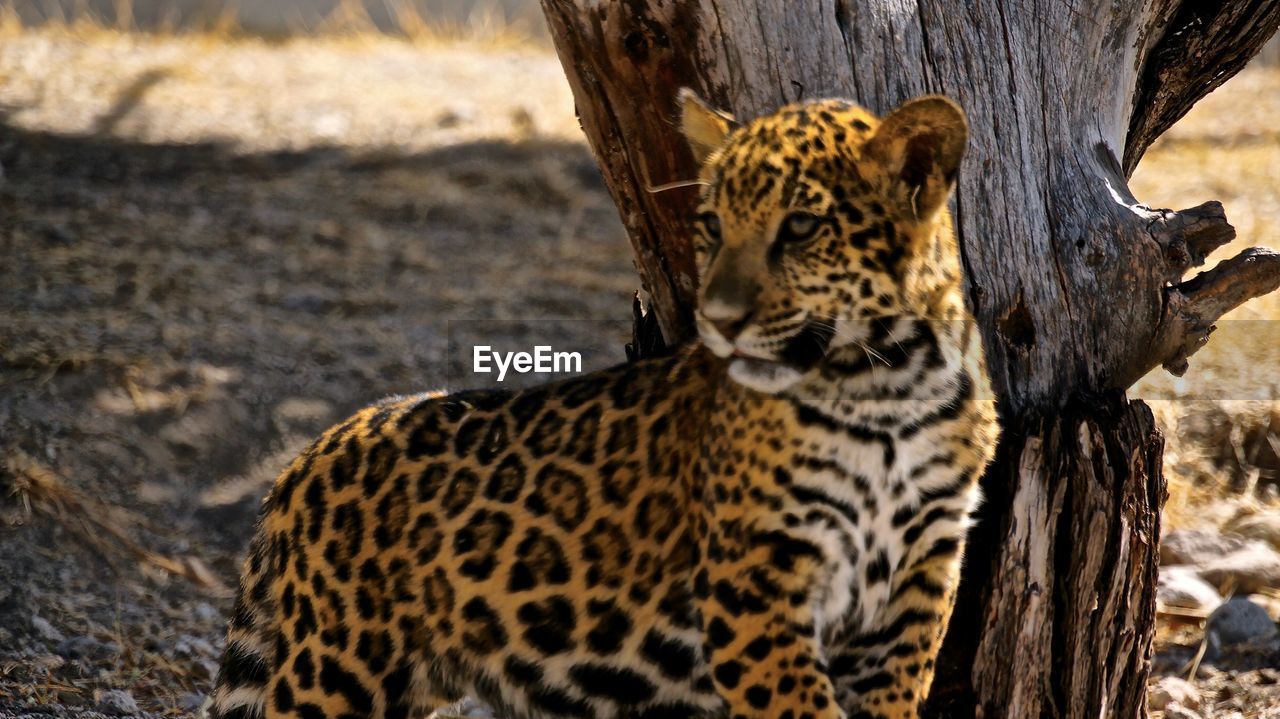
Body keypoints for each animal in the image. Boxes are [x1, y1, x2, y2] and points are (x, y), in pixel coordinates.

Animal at [204, 89, 998, 716]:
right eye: (711, 225)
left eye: (801, 226)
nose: (718, 320)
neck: (886, 388)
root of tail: (307, 457)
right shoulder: (755, 586)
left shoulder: (920, 577)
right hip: (337, 669)